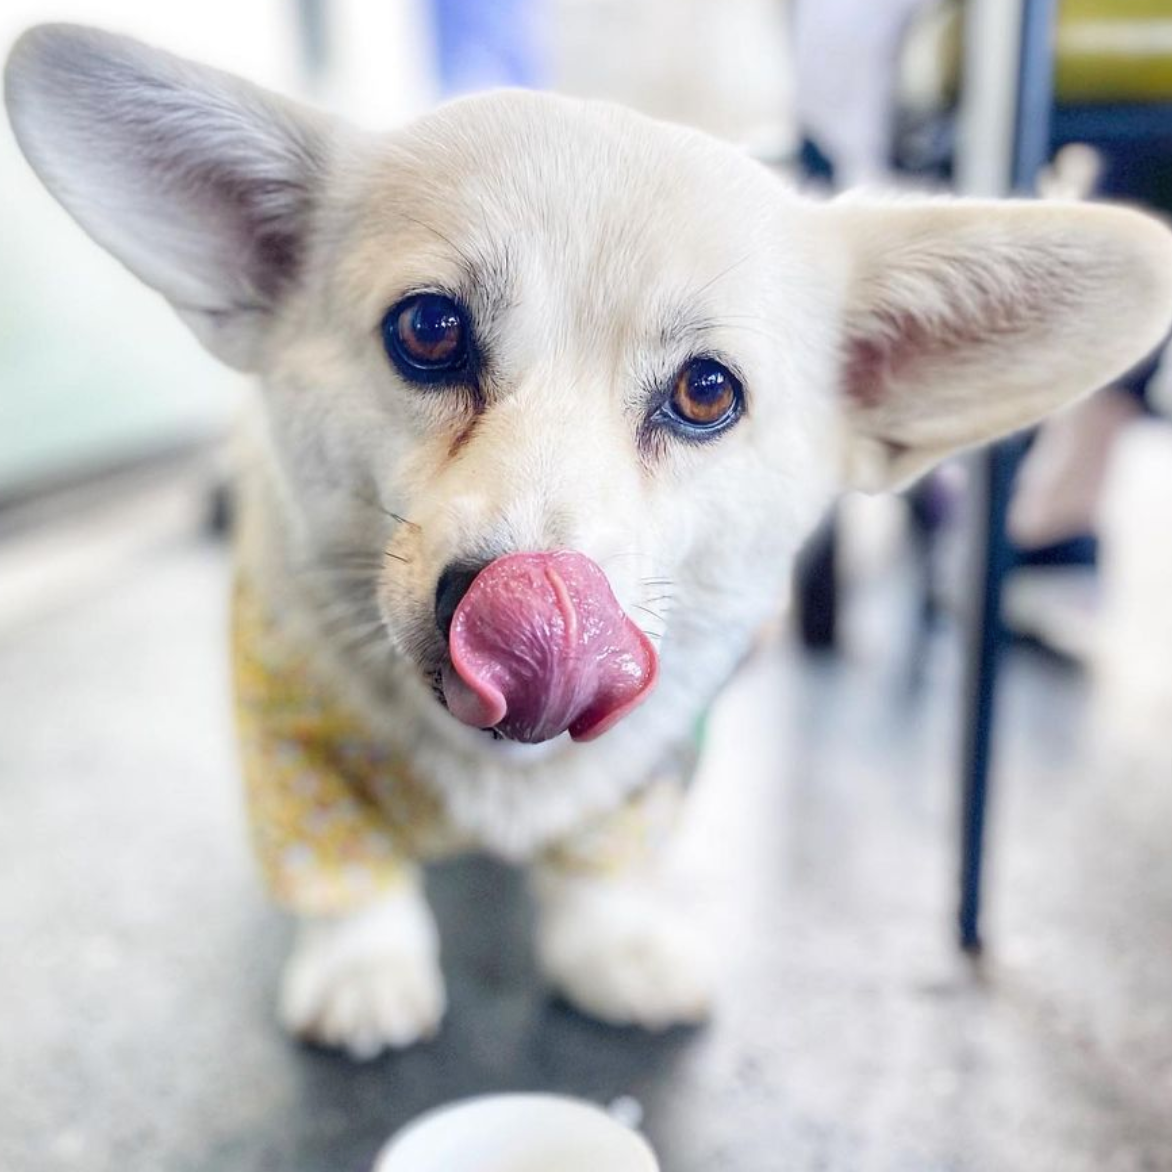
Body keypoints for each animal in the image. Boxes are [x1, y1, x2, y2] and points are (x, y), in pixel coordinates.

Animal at [9, 22, 1172, 1059]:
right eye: (427, 329)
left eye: (705, 392)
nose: (526, 605)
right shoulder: (289, 733)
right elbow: (341, 870)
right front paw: (363, 970)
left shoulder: (648, 767)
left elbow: (606, 866)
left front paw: (616, 951)